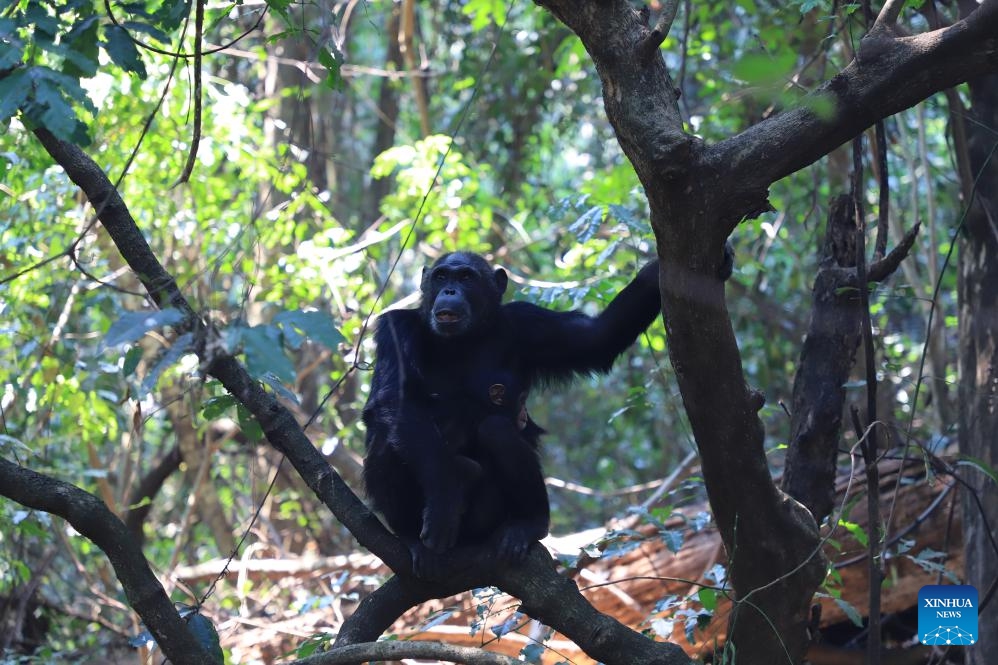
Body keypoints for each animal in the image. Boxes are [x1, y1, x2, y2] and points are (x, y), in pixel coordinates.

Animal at [364, 252, 668, 572]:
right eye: (441, 276)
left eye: (466, 278)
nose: (450, 291)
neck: (463, 339)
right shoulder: (396, 329)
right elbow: (395, 399)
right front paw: (443, 501)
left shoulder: (528, 322)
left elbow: (597, 339)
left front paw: (655, 270)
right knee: (389, 437)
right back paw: (411, 537)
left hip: (487, 519)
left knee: (495, 431)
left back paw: (529, 523)